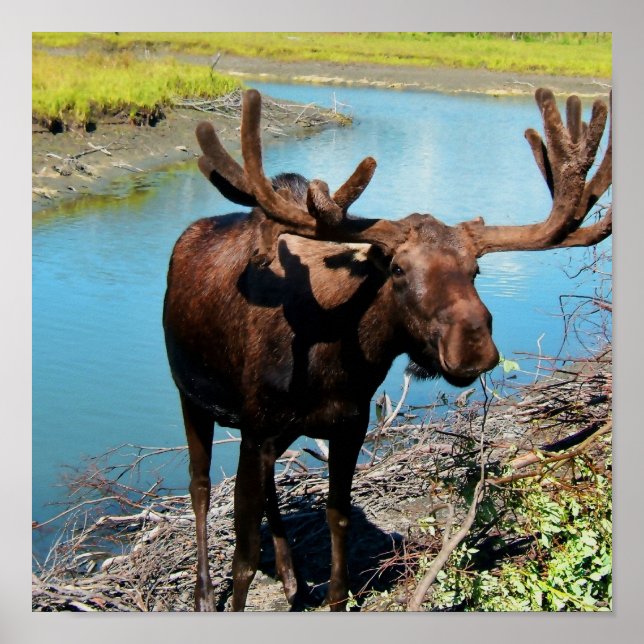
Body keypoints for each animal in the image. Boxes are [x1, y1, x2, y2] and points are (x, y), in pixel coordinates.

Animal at [163, 87, 612, 611]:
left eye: (475, 270)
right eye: (397, 269)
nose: (473, 347)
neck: (334, 358)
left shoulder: (347, 424)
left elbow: (337, 520)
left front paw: (329, 593)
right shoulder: (256, 428)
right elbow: (244, 559)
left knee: (269, 487)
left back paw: (294, 579)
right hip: (192, 397)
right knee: (199, 486)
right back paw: (203, 591)